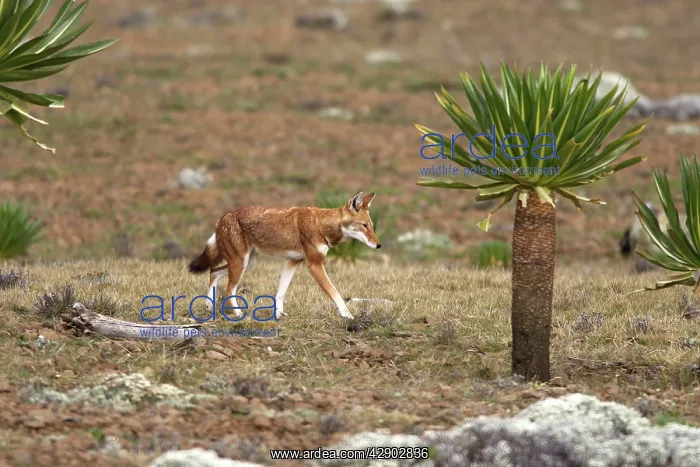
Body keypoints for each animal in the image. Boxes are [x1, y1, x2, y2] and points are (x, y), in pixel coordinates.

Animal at [188, 191, 381, 320]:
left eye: (371, 226)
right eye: (364, 226)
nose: (379, 245)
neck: (320, 225)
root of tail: (221, 219)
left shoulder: (292, 261)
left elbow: (281, 292)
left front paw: (278, 314)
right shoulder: (314, 264)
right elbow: (335, 292)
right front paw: (347, 315)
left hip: (247, 263)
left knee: (213, 272)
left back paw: (209, 305)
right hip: (240, 264)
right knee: (228, 289)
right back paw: (238, 313)